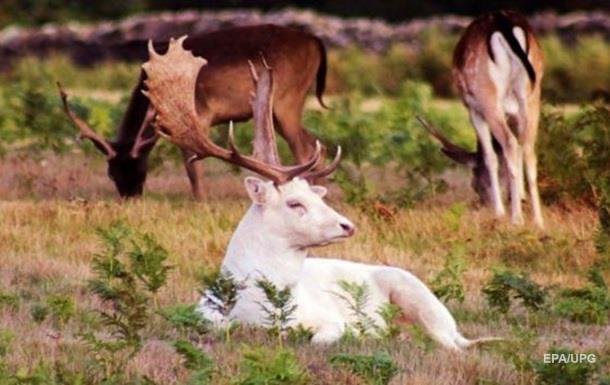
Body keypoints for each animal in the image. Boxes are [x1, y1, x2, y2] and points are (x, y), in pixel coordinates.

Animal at [58, 24, 326, 198]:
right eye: (111, 173)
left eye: (140, 169)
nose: (129, 198)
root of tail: (316, 41)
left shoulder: (200, 115)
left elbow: (192, 167)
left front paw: (201, 203)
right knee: (315, 144)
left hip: (287, 100)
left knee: (304, 148)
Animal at [142, 37, 498, 350]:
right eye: (294, 202)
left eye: (320, 197)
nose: (347, 225)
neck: (253, 310)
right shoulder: (204, 316)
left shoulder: (328, 319)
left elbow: (321, 338)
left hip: (421, 299)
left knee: (453, 345)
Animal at [418, 11, 540, 228]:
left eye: (475, 184)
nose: (483, 204)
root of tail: (504, 24)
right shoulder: (513, 112)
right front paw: (520, 197)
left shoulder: (474, 110)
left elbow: (490, 156)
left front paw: (501, 211)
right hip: (533, 93)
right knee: (528, 147)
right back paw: (538, 221)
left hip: (487, 96)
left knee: (510, 143)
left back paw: (515, 218)